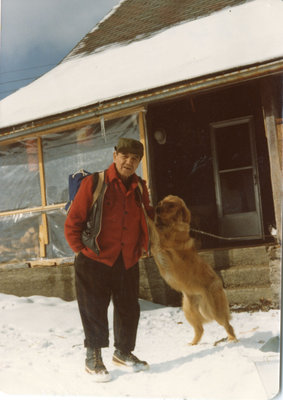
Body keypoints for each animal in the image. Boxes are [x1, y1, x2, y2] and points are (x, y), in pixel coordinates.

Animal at [148, 195, 239, 346]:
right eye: (162, 202)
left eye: (171, 205)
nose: (157, 208)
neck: (171, 225)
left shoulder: (162, 240)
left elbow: (151, 222)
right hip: (189, 311)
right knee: (200, 329)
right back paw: (192, 344)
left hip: (214, 311)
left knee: (228, 325)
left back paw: (232, 339)